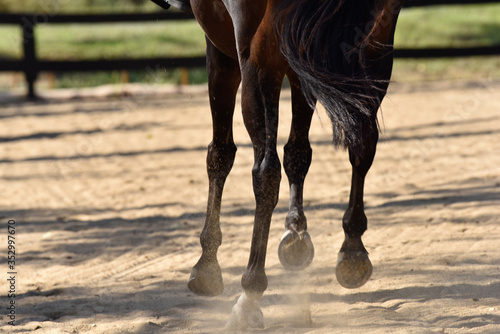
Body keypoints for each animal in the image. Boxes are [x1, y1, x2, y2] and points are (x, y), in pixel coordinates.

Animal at [151, 0, 402, 328]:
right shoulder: (302, 57)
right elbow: (297, 152)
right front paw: (296, 235)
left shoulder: (222, 53)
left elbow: (220, 154)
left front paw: (207, 265)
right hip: (375, 48)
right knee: (362, 145)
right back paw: (353, 251)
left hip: (258, 62)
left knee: (265, 171)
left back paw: (249, 295)